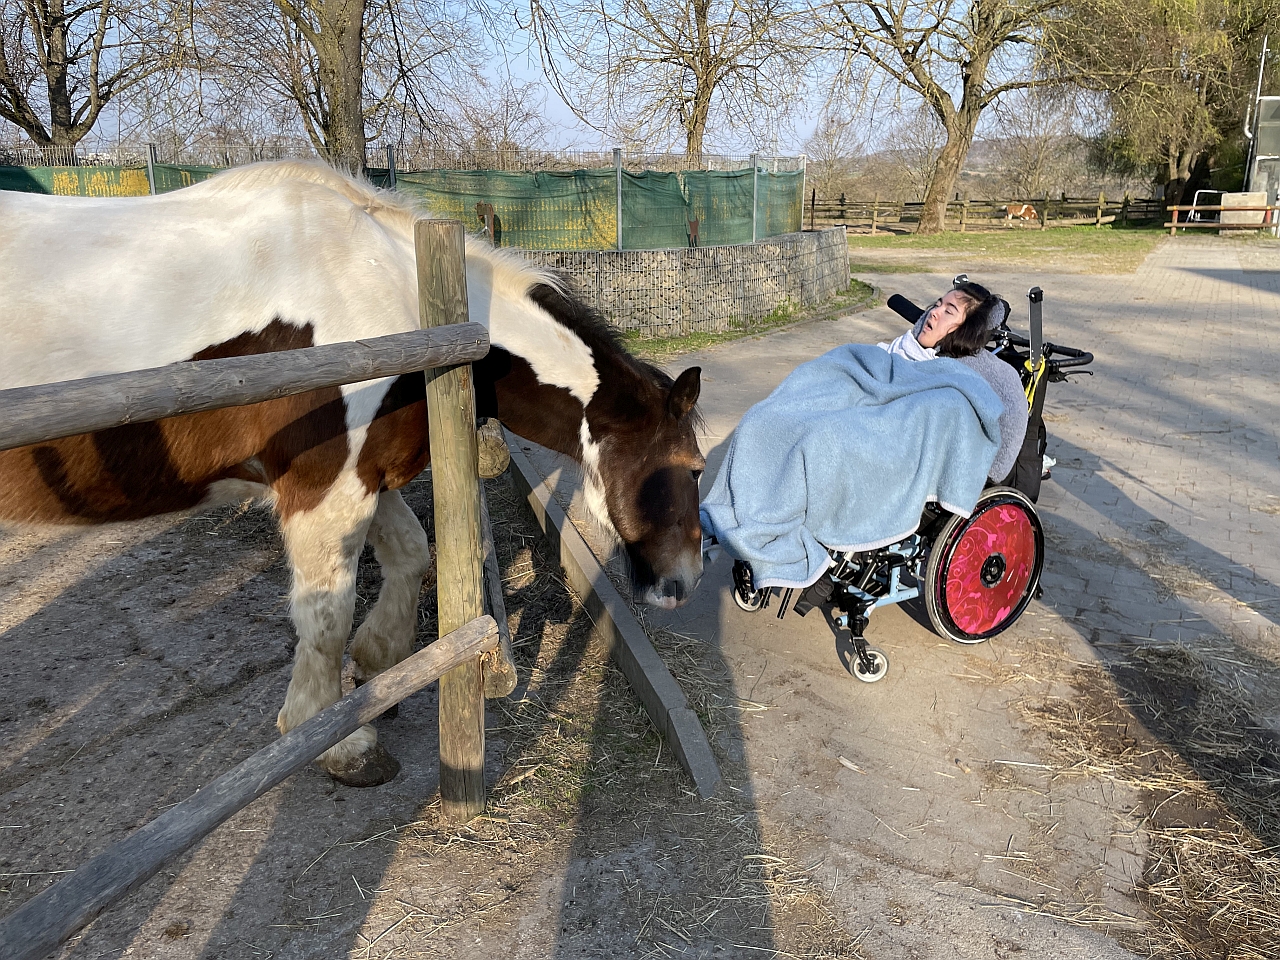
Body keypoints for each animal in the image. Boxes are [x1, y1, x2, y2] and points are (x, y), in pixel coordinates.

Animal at [0, 161, 705, 786]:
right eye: (693, 466)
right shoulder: (324, 487)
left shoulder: (365, 471)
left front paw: (375, 669)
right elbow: (325, 612)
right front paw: (338, 743)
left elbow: (410, 554)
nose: (684, 584)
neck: (396, 288)